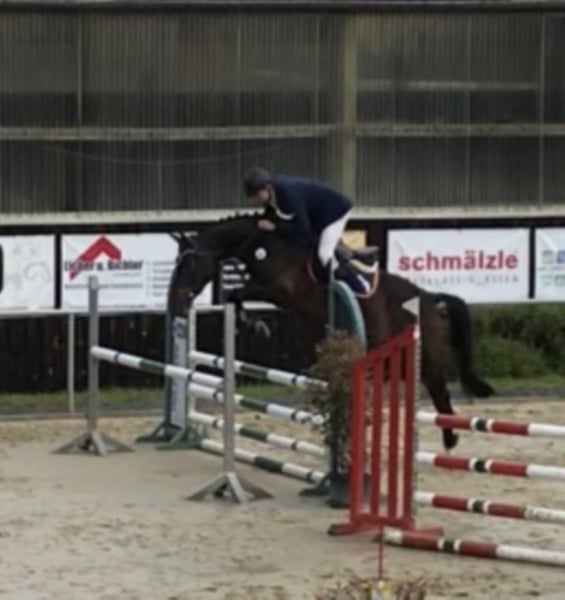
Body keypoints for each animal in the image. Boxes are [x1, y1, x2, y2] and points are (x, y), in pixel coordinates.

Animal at [169, 213, 494, 451]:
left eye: (189, 262)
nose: (177, 300)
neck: (262, 243)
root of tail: (430, 298)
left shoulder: (278, 290)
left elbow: (236, 292)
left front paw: (256, 325)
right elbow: (234, 296)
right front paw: (251, 323)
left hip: (425, 357)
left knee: (439, 390)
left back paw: (450, 440)